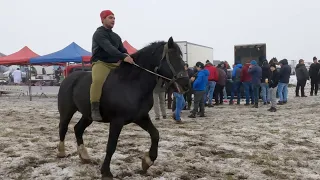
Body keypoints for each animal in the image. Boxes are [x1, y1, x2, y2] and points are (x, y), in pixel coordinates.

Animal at [57, 37, 190, 179]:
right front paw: (106, 171)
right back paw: (61, 152)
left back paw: (84, 156)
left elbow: (155, 134)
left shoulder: (141, 117)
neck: (131, 83)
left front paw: (147, 161)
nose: (186, 84)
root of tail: (68, 78)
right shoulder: (117, 121)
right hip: (66, 112)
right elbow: (111, 145)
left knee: (78, 129)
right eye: (173, 57)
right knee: (63, 128)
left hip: (88, 115)